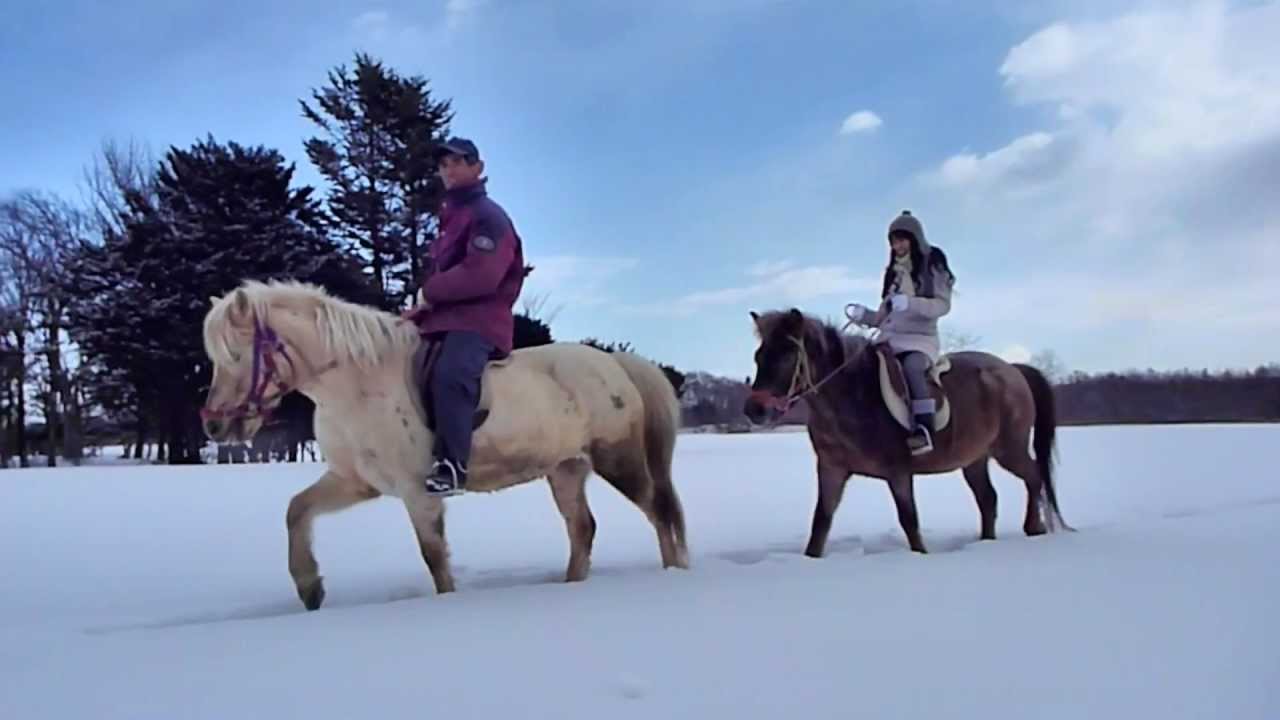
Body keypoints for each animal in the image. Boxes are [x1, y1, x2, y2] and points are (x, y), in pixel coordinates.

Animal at [199, 279, 689, 610]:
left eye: (235, 356)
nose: (215, 427)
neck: (357, 385)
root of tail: (614, 362)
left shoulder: (419, 492)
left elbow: (434, 557)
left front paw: (446, 605)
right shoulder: (354, 482)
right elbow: (296, 509)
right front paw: (309, 587)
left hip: (618, 460)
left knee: (657, 510)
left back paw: (674, 575)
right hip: (566, 469)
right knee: (583, 528)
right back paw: (573, 585)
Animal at [742, 308, 1069, 557]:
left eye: (787, 355)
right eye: (758, 356)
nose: (754, 410)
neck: (852, 394)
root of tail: (1013, 369)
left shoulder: (898, 471)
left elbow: (909, 521)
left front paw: (919, 556)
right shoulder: (831, 469)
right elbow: (820, 522)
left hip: (1009, 449)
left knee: (1033, 476)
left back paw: (1034, 528)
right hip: (974, 459)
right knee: (988, 499)